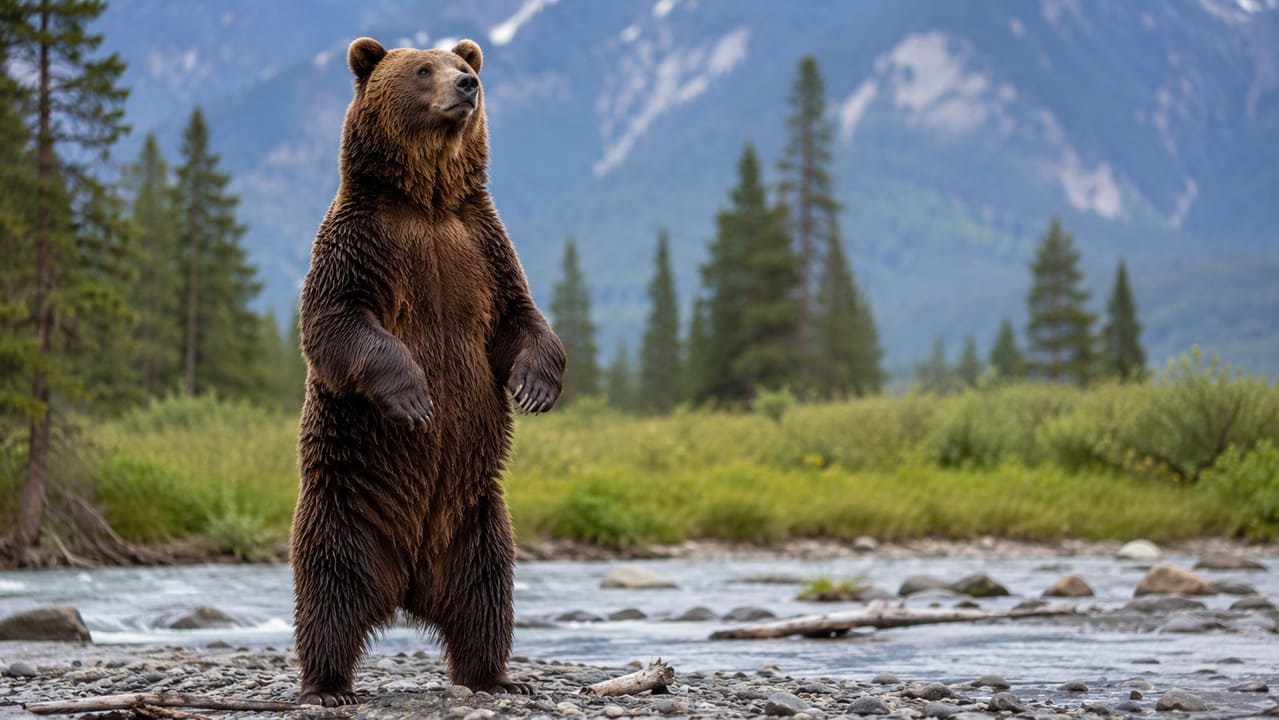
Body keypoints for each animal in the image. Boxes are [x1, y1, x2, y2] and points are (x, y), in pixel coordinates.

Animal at [290, 36, 566, 707]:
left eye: (462, 64)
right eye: (422, 69)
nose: (468, 83)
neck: (430, 202)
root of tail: (407, 586)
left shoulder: (482, 247)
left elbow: (520, 318)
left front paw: (535, 386)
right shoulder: (362, 243)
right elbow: (337, 322)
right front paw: (415, 397)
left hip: (475, 520)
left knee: (487, 596)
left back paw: (495, 675)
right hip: (346, 507)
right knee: (329, 592)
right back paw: (328, 685)